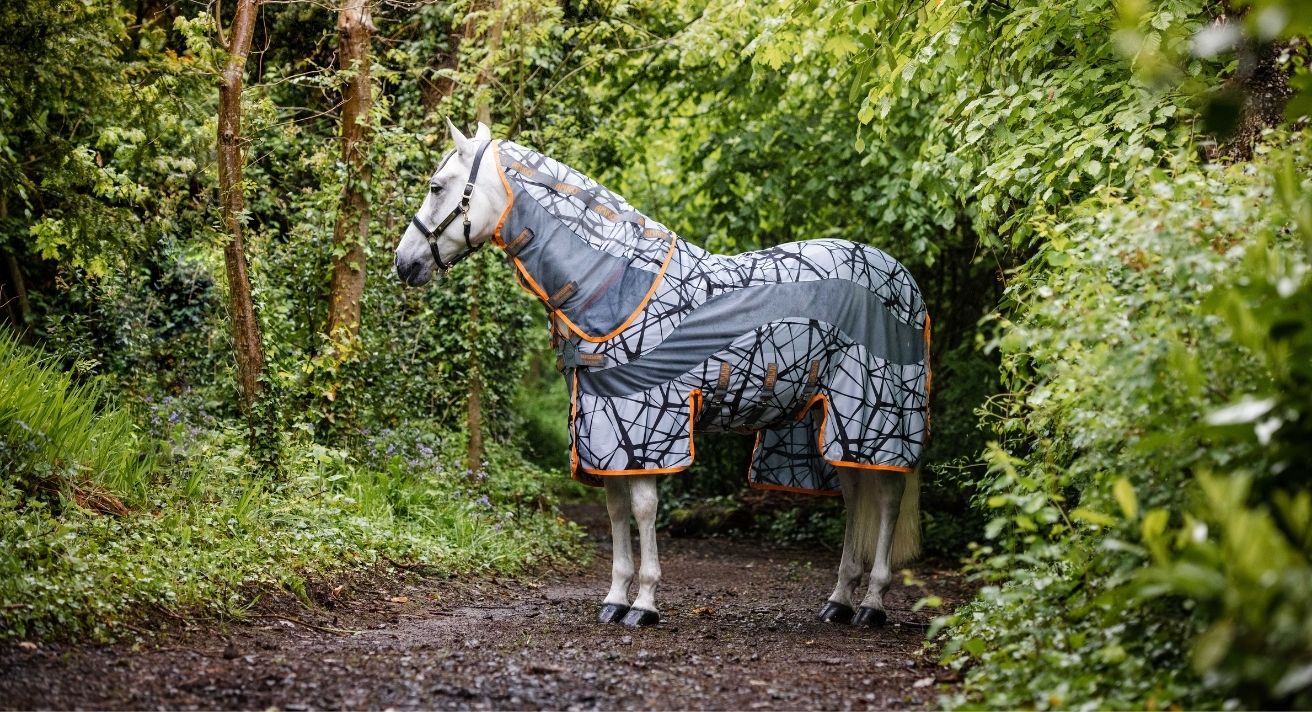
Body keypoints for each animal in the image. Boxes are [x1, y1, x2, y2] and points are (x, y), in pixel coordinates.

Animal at [395, 121, 929, 629]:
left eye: (437, 186)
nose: (404, 263)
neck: (616, 288)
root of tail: (903, 278)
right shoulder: (601, 427)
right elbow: (616, 511)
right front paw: (614, 599)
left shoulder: (646, 423)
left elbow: (645, 508)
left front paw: (645, 605)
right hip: (833, 423)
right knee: (856, 496)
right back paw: (839, 600)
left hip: (878, 416)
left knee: (886, 499)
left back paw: (872, 604)